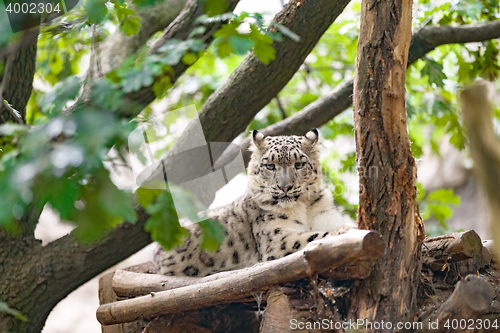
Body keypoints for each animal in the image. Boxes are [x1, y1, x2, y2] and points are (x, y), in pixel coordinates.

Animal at [154, 128, 350, 276]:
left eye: (299, 164)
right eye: (270, 166)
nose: (285, 187)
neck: (303, 208)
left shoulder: (327, 217)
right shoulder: (277, 240)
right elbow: (313, 237)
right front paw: (343, 231)